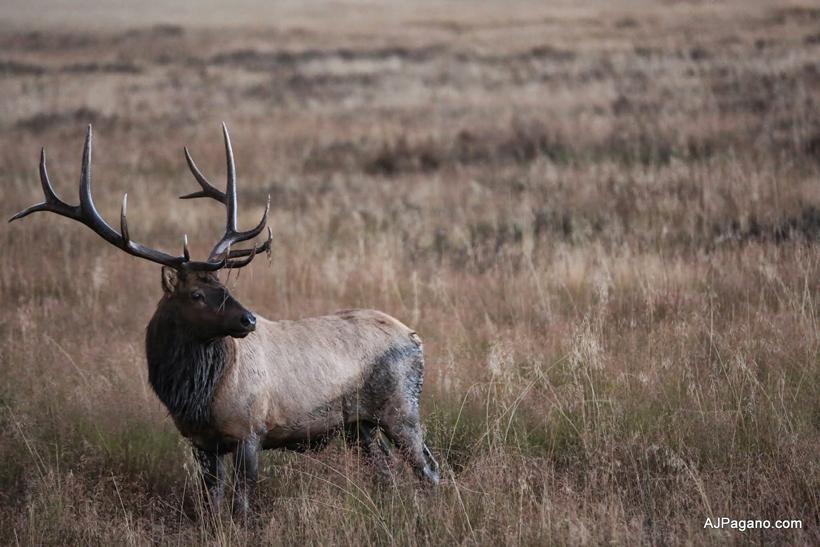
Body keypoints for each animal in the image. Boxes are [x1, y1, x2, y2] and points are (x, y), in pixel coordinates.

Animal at [10, 124, 440, 517]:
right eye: (197, 295)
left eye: (222, 286)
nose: (248, 320)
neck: (196, 396)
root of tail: (416, 338)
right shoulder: (201, 441)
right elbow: (211, 502)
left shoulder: (251, 428)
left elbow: (242, 502)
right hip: (359, 424)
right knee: (386, 471)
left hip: (401, 405)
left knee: (428, 468)